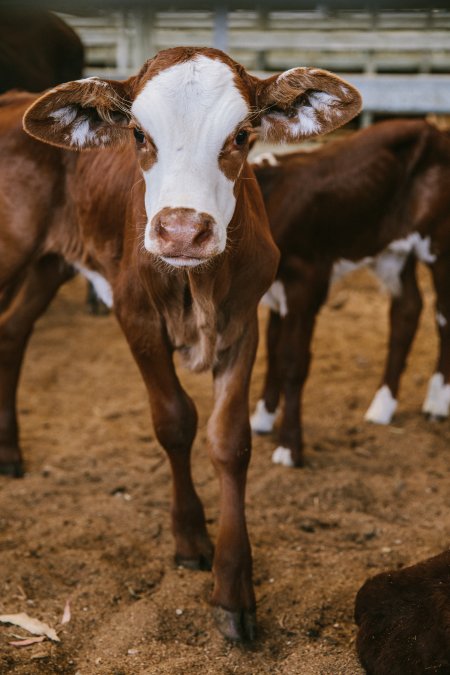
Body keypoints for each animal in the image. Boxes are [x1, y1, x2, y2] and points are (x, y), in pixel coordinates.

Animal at [250, 119, 450, 468]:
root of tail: (434, 128)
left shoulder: (306, 282)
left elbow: (292, 360)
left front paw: (290, 448)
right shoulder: (275, 291)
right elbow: (273, 349)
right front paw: (262, 418)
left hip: (439, 240)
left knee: (444, 315)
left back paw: (437, 402)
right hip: (391, 250)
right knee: (407, 310)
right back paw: (382, 407)